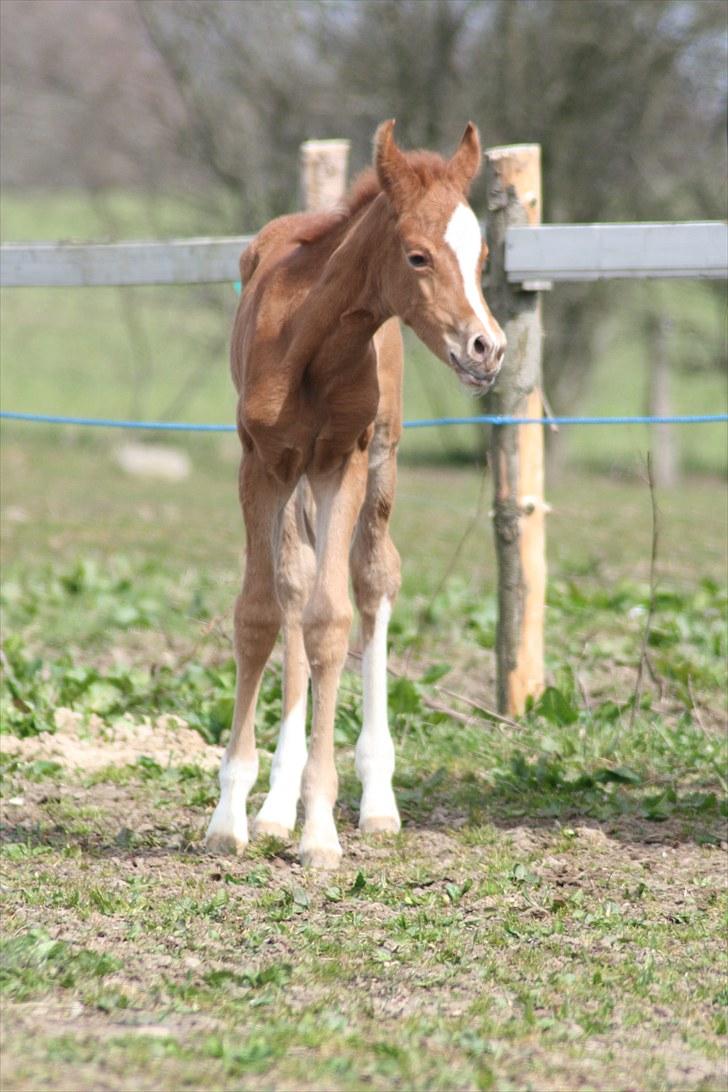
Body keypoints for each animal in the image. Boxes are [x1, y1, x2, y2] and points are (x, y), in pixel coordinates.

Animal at [201, 119, 504, 869]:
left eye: (482, 254)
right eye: (418, 256)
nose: (488, 349)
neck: (309, 342)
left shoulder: (345, 460)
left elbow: (331, 621)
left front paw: (321, 829)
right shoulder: (261, 465)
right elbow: (260, 614)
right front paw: (231, 817)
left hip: (381, 463)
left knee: (371, 580)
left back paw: (376, 799)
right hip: (294, 480)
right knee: (294, 581)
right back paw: (273, 808)